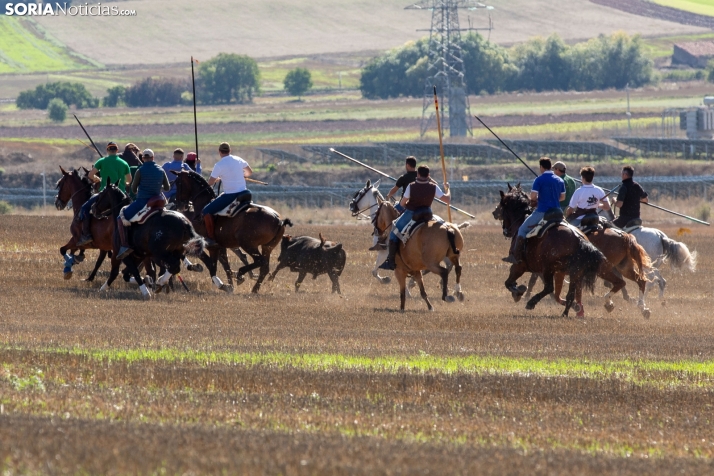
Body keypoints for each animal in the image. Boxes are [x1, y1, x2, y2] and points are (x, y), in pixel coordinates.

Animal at [498, 188, 620, 318]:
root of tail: (578, 238)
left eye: (502, 208)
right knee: (570, 293)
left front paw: (518, 292)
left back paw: (532, 302)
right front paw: (575, 307)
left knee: (549, 287)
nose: (505, 231)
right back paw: (567, 312)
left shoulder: (519, 266)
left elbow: (508, 283)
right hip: (574, 272)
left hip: (548, 269)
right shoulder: (556, 272)